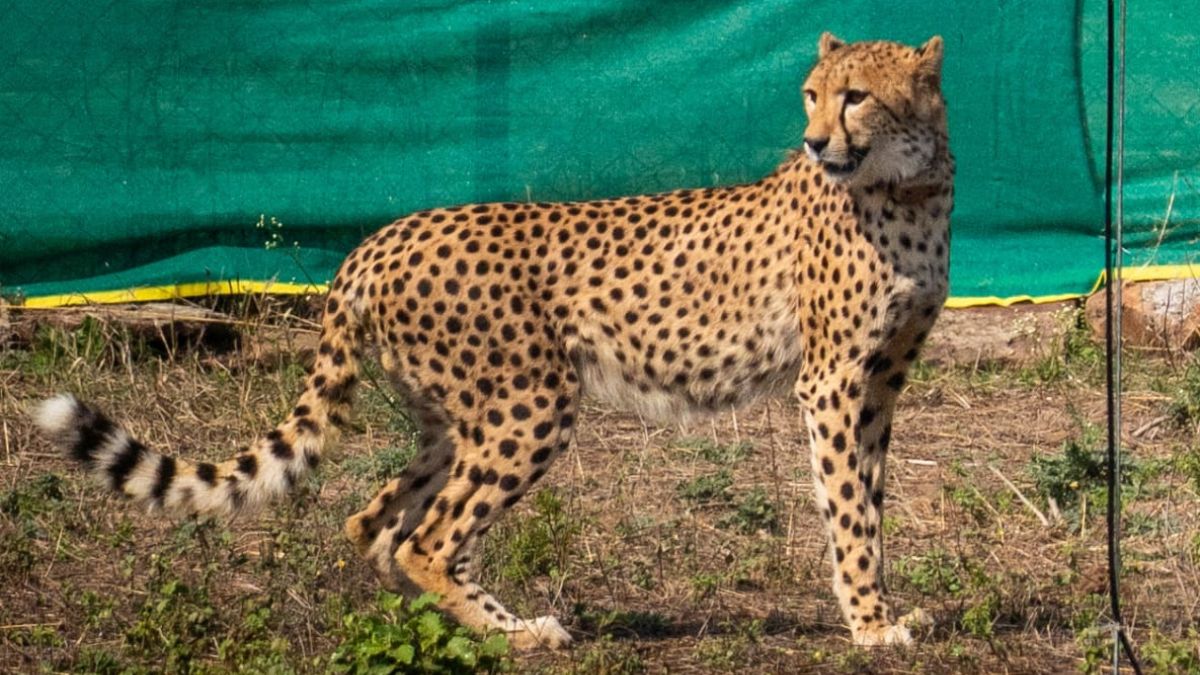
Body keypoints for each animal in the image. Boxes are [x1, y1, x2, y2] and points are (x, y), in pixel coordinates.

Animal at [36, 33, 952, 650]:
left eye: (856, 96)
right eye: (811, 94)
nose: (815, 142)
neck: (912, 189)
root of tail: (378, 239)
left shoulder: (881, 382)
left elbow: (869, 496)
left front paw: (883, 605)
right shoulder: (832, 381)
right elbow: (848, 506)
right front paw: (871, 623)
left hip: (457, 418)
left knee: (375, 524)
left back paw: (449, 626)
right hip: (528, 405)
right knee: (429, 539)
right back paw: (518, 633)